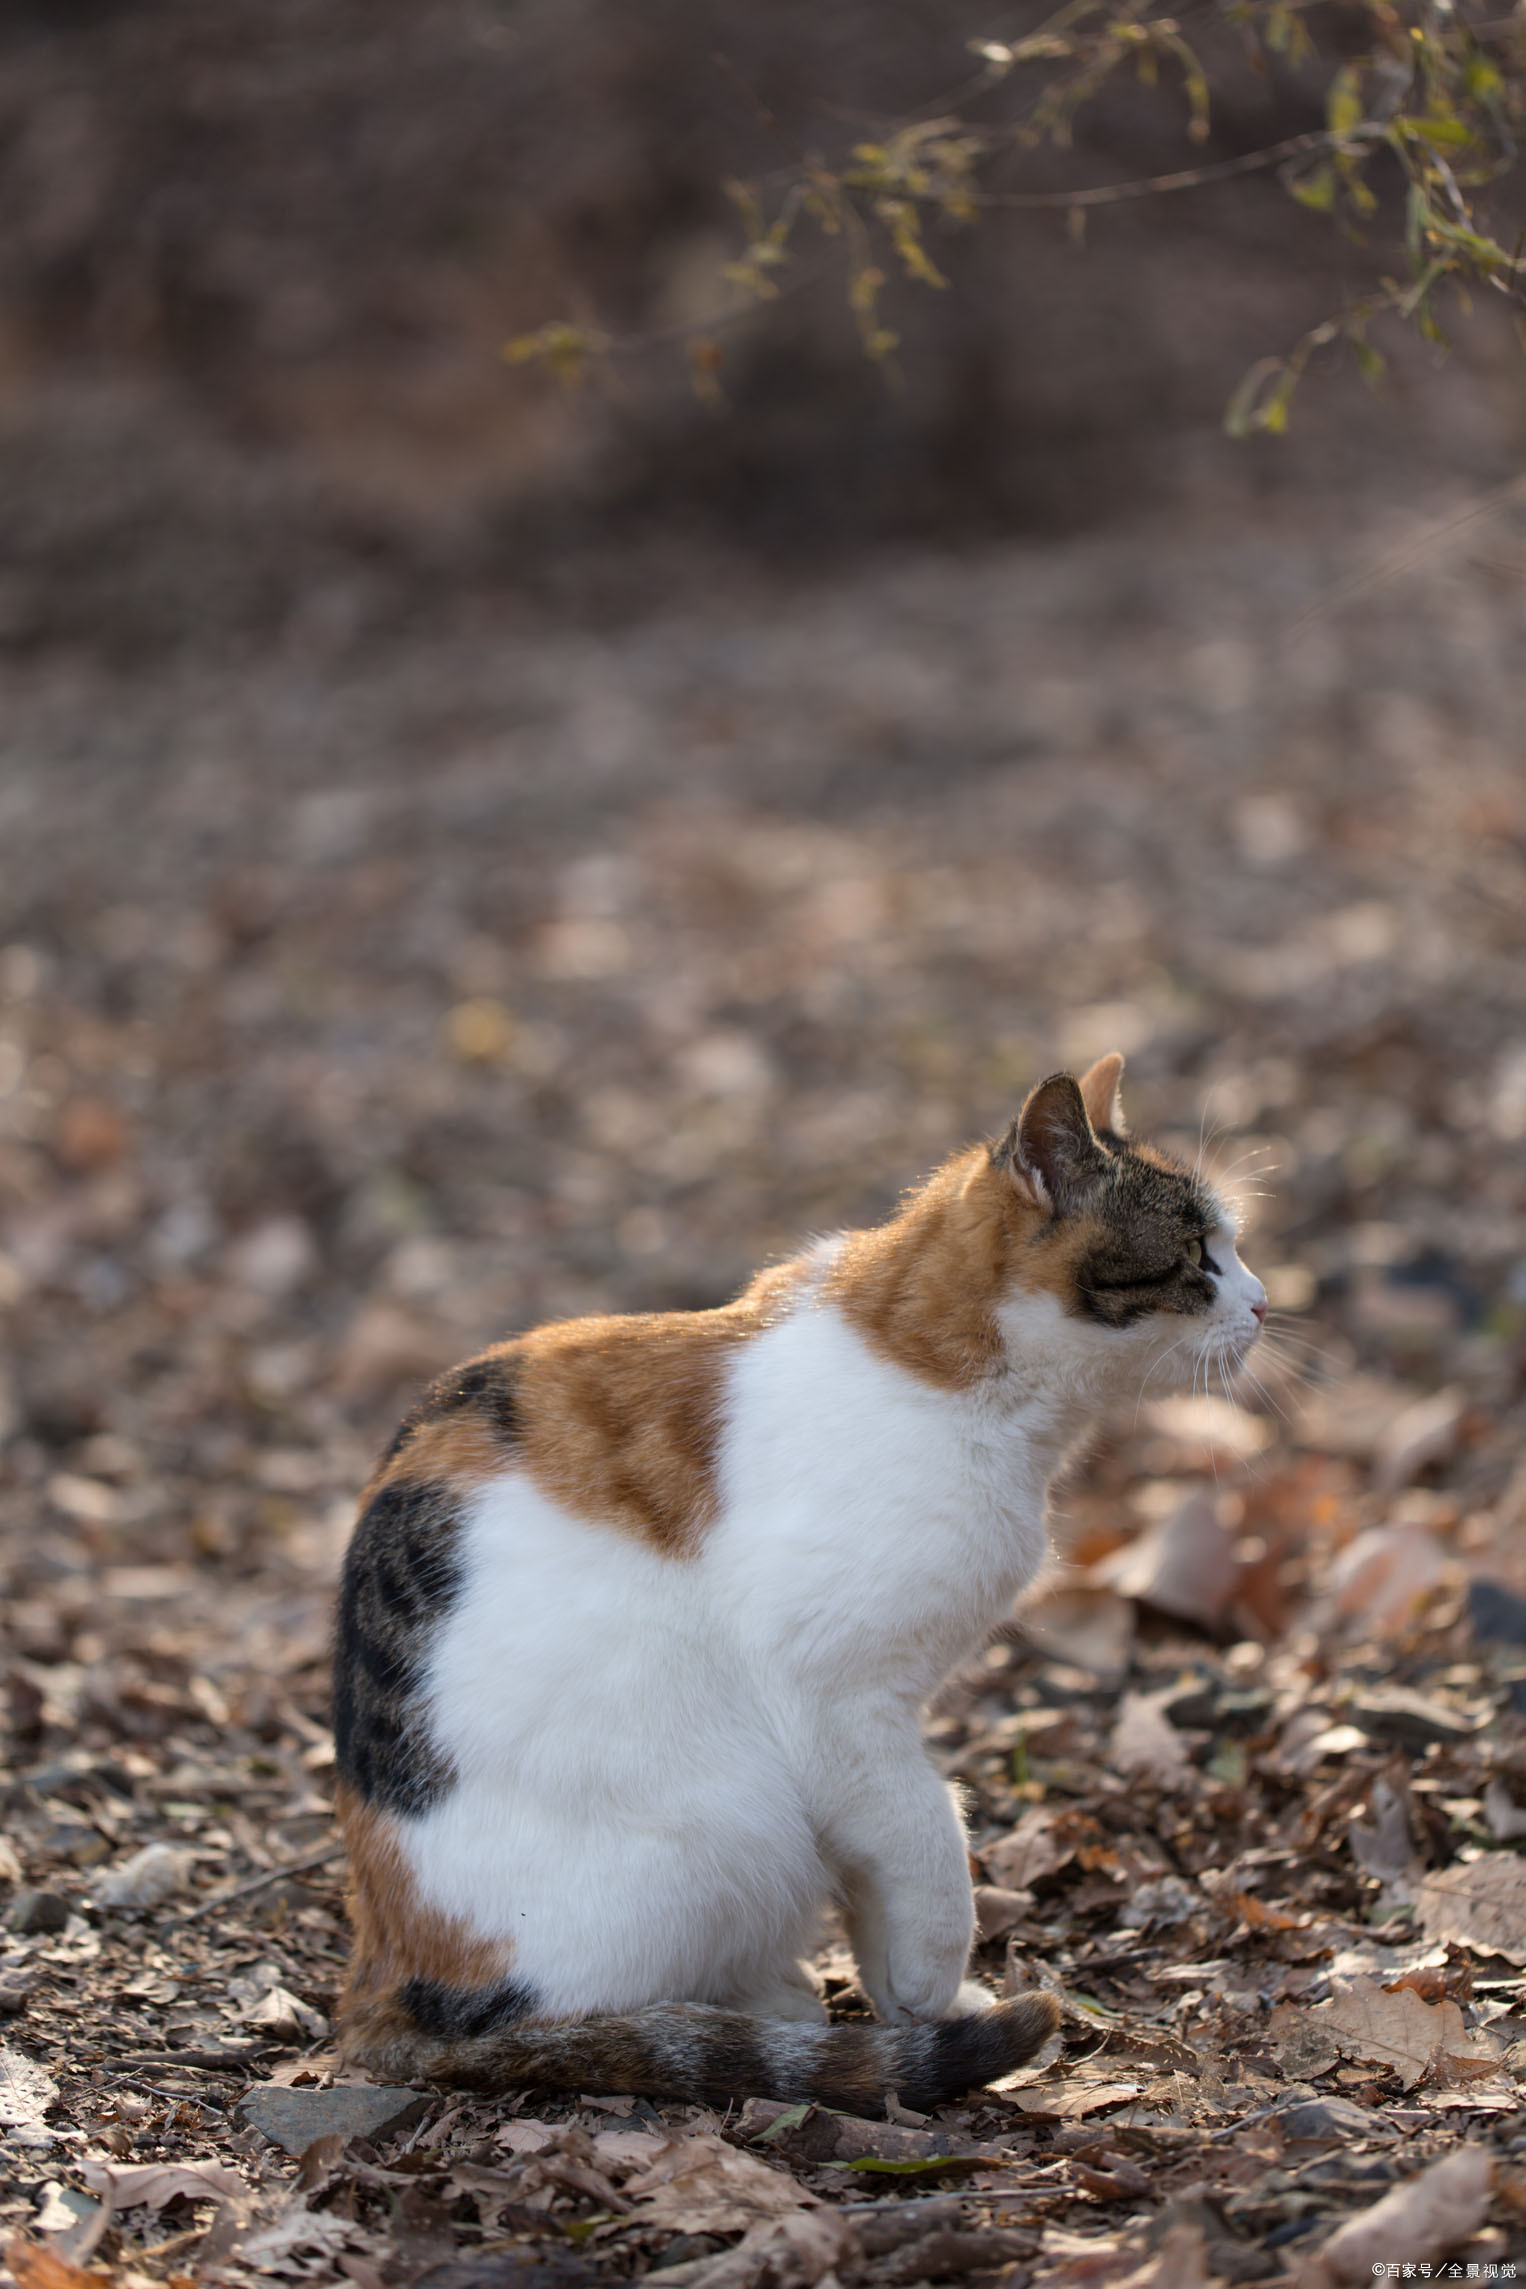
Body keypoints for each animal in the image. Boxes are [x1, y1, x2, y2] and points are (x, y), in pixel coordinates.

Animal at [334, 1052, 1262, 2105]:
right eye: (1198, 1253)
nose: (1265, 1303)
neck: (957, 1382)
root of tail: (381, 1988)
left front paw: (914, 2003)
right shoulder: (834, 1697)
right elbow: (931, 1829)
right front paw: (927, 1979)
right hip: (736, 1816)